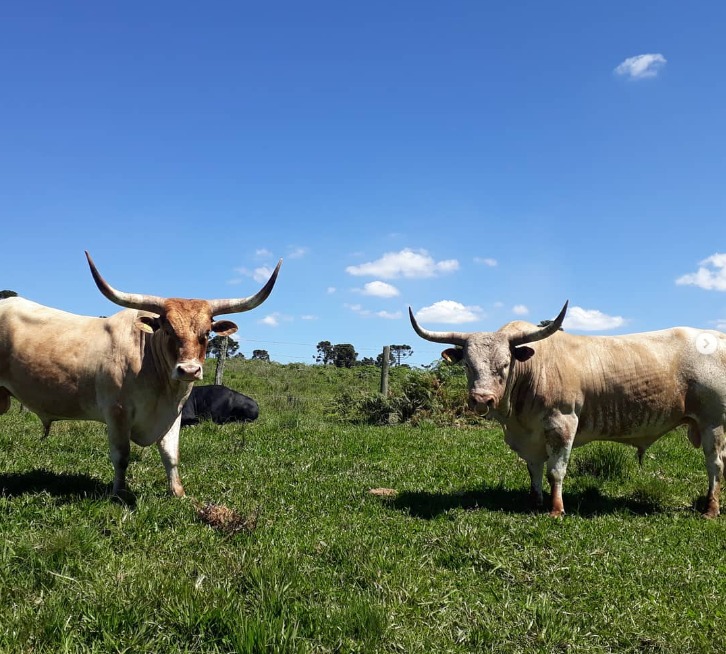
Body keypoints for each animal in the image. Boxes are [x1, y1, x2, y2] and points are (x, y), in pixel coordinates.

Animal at [0, 254, 282, 500]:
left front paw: (178, 493)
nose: (189, 370)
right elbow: (121, 456)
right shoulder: (117, 413)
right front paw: (119, 494)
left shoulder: (173, 415)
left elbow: (171, 454)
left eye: (206, 334)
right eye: (168, 329)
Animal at [410, 304, 726, 520]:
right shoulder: (530, 435)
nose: (481, 399)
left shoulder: (562, 425)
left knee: (715, 465)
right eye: (467, 365)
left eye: (505, 364)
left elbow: (555, 470)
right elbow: (534, 469)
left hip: (714, 424)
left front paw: (556, 509)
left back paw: (711, 509)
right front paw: (535, 502)